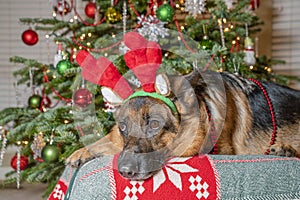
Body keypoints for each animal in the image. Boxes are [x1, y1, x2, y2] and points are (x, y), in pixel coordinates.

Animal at [67, 67, 300, 181]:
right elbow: (108, 140)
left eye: (154, 124)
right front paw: (82, 151)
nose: (124, 171)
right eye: (123, 127)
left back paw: (286, 149)